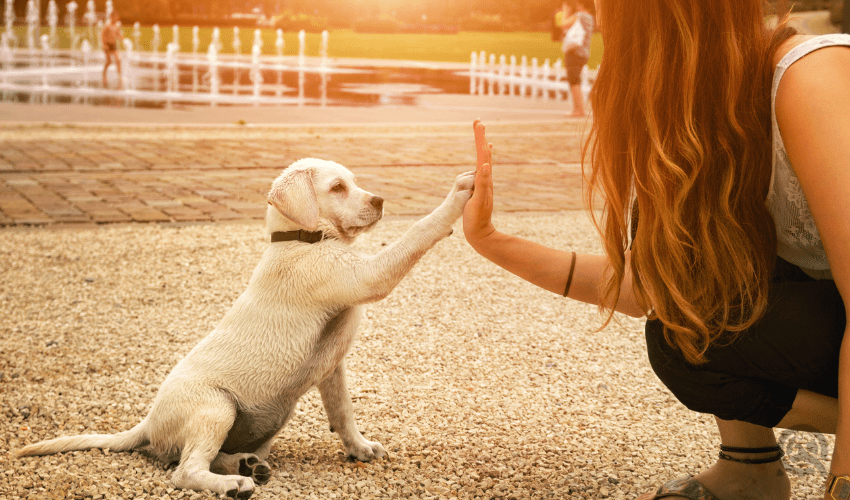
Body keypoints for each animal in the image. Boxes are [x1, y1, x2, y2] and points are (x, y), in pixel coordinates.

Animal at [13, 158, 474, 498]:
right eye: (337, 188)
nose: (379, 201)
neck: (301, 239)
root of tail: (148, 422)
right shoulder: (366, 277)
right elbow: (416, 232)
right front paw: (458, 196)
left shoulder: (333, 367)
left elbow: (343, 412)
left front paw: (360, 448)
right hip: (216, 406)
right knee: (184, 471)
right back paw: (234, 482)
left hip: (263, 422)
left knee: (202, 457)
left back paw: (247, 466)